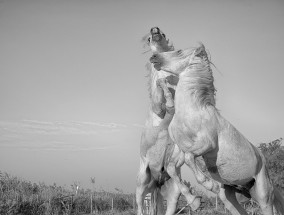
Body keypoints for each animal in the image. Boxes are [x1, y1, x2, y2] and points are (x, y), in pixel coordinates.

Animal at [150, 42, 284, 214]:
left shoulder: (207, 144)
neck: (191, 112)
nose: (154, 57)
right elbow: (172, 168)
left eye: (179, 51)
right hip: (230, 196)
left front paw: (209, 185)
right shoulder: (182, 148)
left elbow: (189, 159)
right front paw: (194, 202)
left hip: (263, 195)